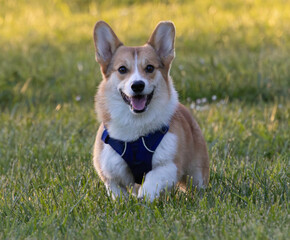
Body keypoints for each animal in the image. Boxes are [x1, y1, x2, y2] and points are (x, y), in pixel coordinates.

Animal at [93, 20, 208, 202]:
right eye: (122, 69)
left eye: (149, 68)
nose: (137, 85)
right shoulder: (110, 171)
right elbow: (117, 191)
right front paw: (125, 203)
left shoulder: (169, 165)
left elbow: (152, 180)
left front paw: (143, 198)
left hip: (196, 173)